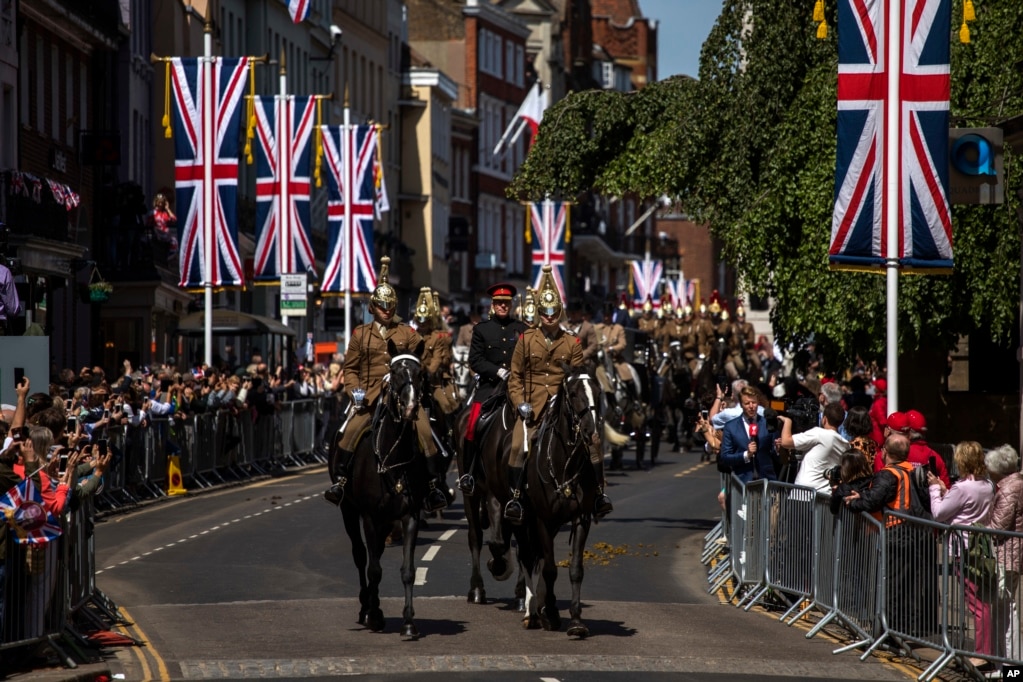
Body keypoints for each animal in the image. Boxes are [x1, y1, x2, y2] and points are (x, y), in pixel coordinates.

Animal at [331, 343, 431, 642]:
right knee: (361, 555)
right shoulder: (368, 515)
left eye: (420, 373)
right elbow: (373, 568)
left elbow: (408, 570)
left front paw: (409, 623)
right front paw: (375, 615)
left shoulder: (410, 516)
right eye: (394, 372)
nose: (410, 408)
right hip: (349, 511)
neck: (391, 456)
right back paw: (366, 608)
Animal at [515, 366, 601, 638]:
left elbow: (574, 569)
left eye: (598, 392)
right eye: (573, 394)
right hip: (522, 521)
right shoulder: (542, 519)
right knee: (527, 557)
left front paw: (576, 621)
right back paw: (532, 611)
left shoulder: (580, 519)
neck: (564, 465)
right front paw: (551, 614)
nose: (591, 432)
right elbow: (550, 569)